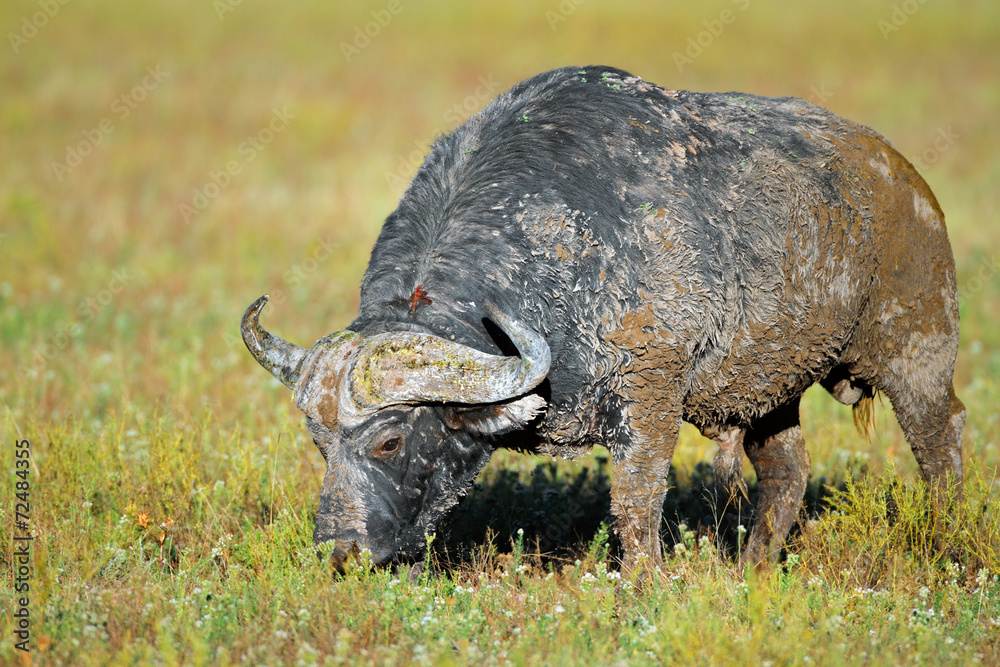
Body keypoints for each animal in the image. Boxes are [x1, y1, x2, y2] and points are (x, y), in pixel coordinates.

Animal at [241, 65, 965, 577]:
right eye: (318, 443)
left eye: (389, 441)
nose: (339, 551)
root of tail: (907, 181)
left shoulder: (650, 397)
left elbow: (636, 501)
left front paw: (645, 587)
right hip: (767, 390)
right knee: (787, 473)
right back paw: (753, 570)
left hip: (918, 350)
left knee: (941, 438)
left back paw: (949, 544)